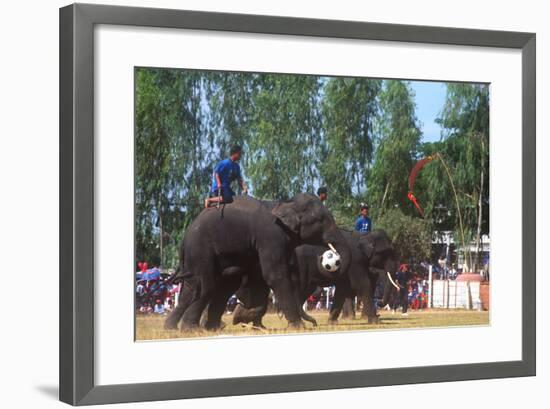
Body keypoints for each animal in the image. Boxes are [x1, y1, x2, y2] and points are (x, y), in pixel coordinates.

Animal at [169, 193, 354, 330]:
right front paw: (297, 327)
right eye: (320, 220)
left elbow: (260, 279)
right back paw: (191, 329)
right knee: (205, 285)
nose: (315, 324)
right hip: (200, 250)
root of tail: (185, 236)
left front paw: (243, 316)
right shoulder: (271, 236)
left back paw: (195, 328)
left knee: (210, 286)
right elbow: (274, 275)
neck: (286, 203)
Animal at [231, 230, 404, 326]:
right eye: (386, 252)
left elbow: (342, 290)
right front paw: (376, 321)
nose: (380, 304)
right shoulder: (356, 261)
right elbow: (362, 285)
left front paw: (332, 322)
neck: (364, 236)